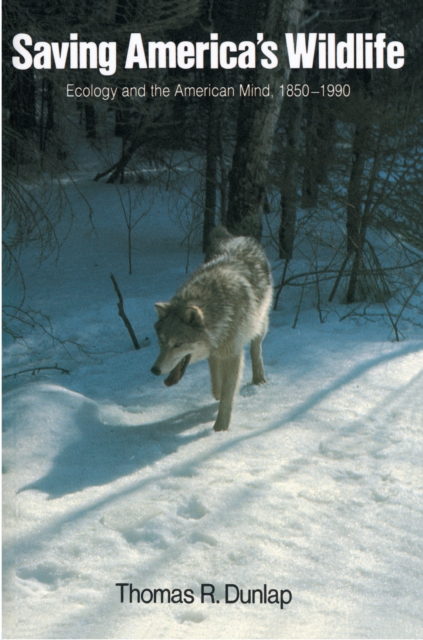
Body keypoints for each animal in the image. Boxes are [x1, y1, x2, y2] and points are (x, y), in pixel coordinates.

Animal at [151, 228, 274, 432]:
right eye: (162, 342)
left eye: (178, 344)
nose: (154, 370)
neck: (220, 311)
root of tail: (236, 236)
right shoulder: (216, 351)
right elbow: (218, 384)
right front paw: (218, 396)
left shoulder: (233, 354)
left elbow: (227, 394)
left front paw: (220, 429)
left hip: (260, 323)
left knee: (256, 348)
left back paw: (259, 379)